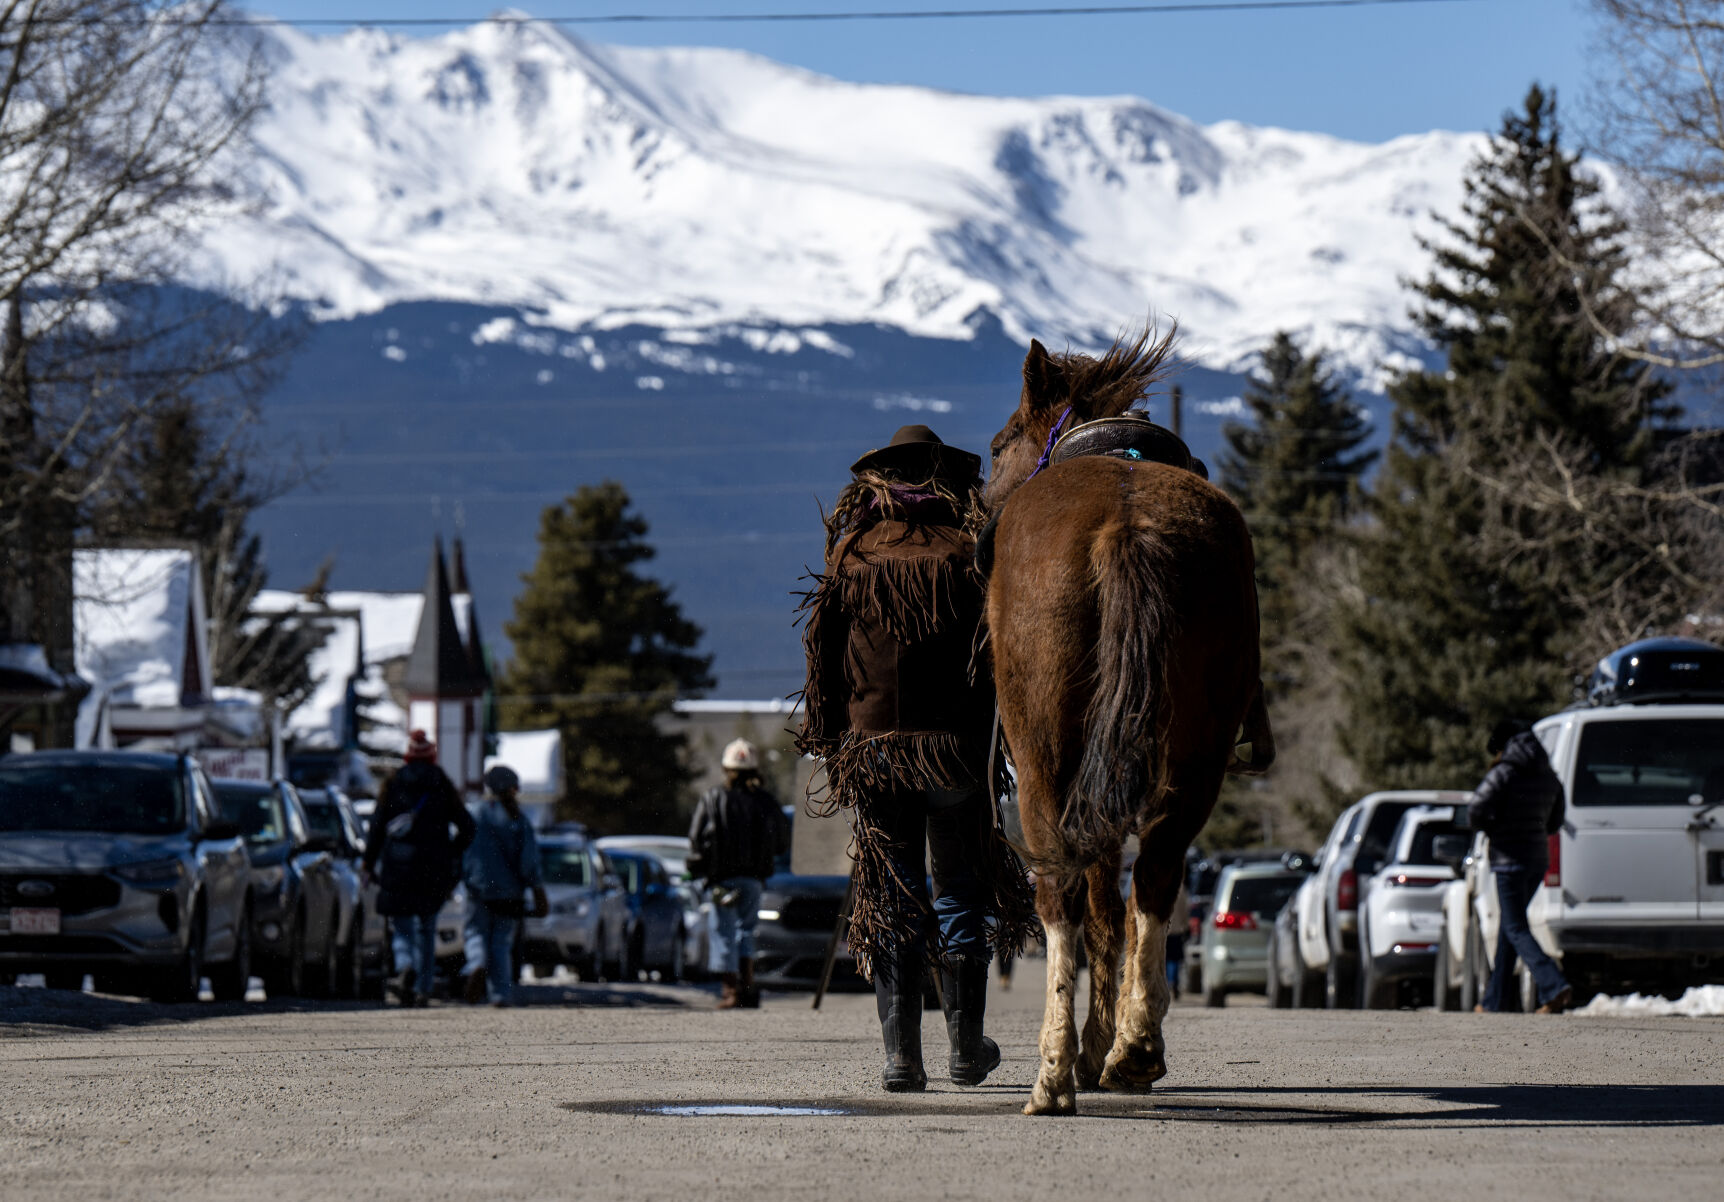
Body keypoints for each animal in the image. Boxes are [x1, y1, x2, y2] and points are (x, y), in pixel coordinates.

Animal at [982, 326, 1271, 1117]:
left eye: (999, 443)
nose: (975, 510)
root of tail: (1127, 525)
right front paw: (1115, 1040)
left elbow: (1096, 911)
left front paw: (1088, 1045)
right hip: (1196, 753)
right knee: (1160, 875)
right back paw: (1138, 1049)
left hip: (1046, 754)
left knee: (1062, 893)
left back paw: (1056, 1072)